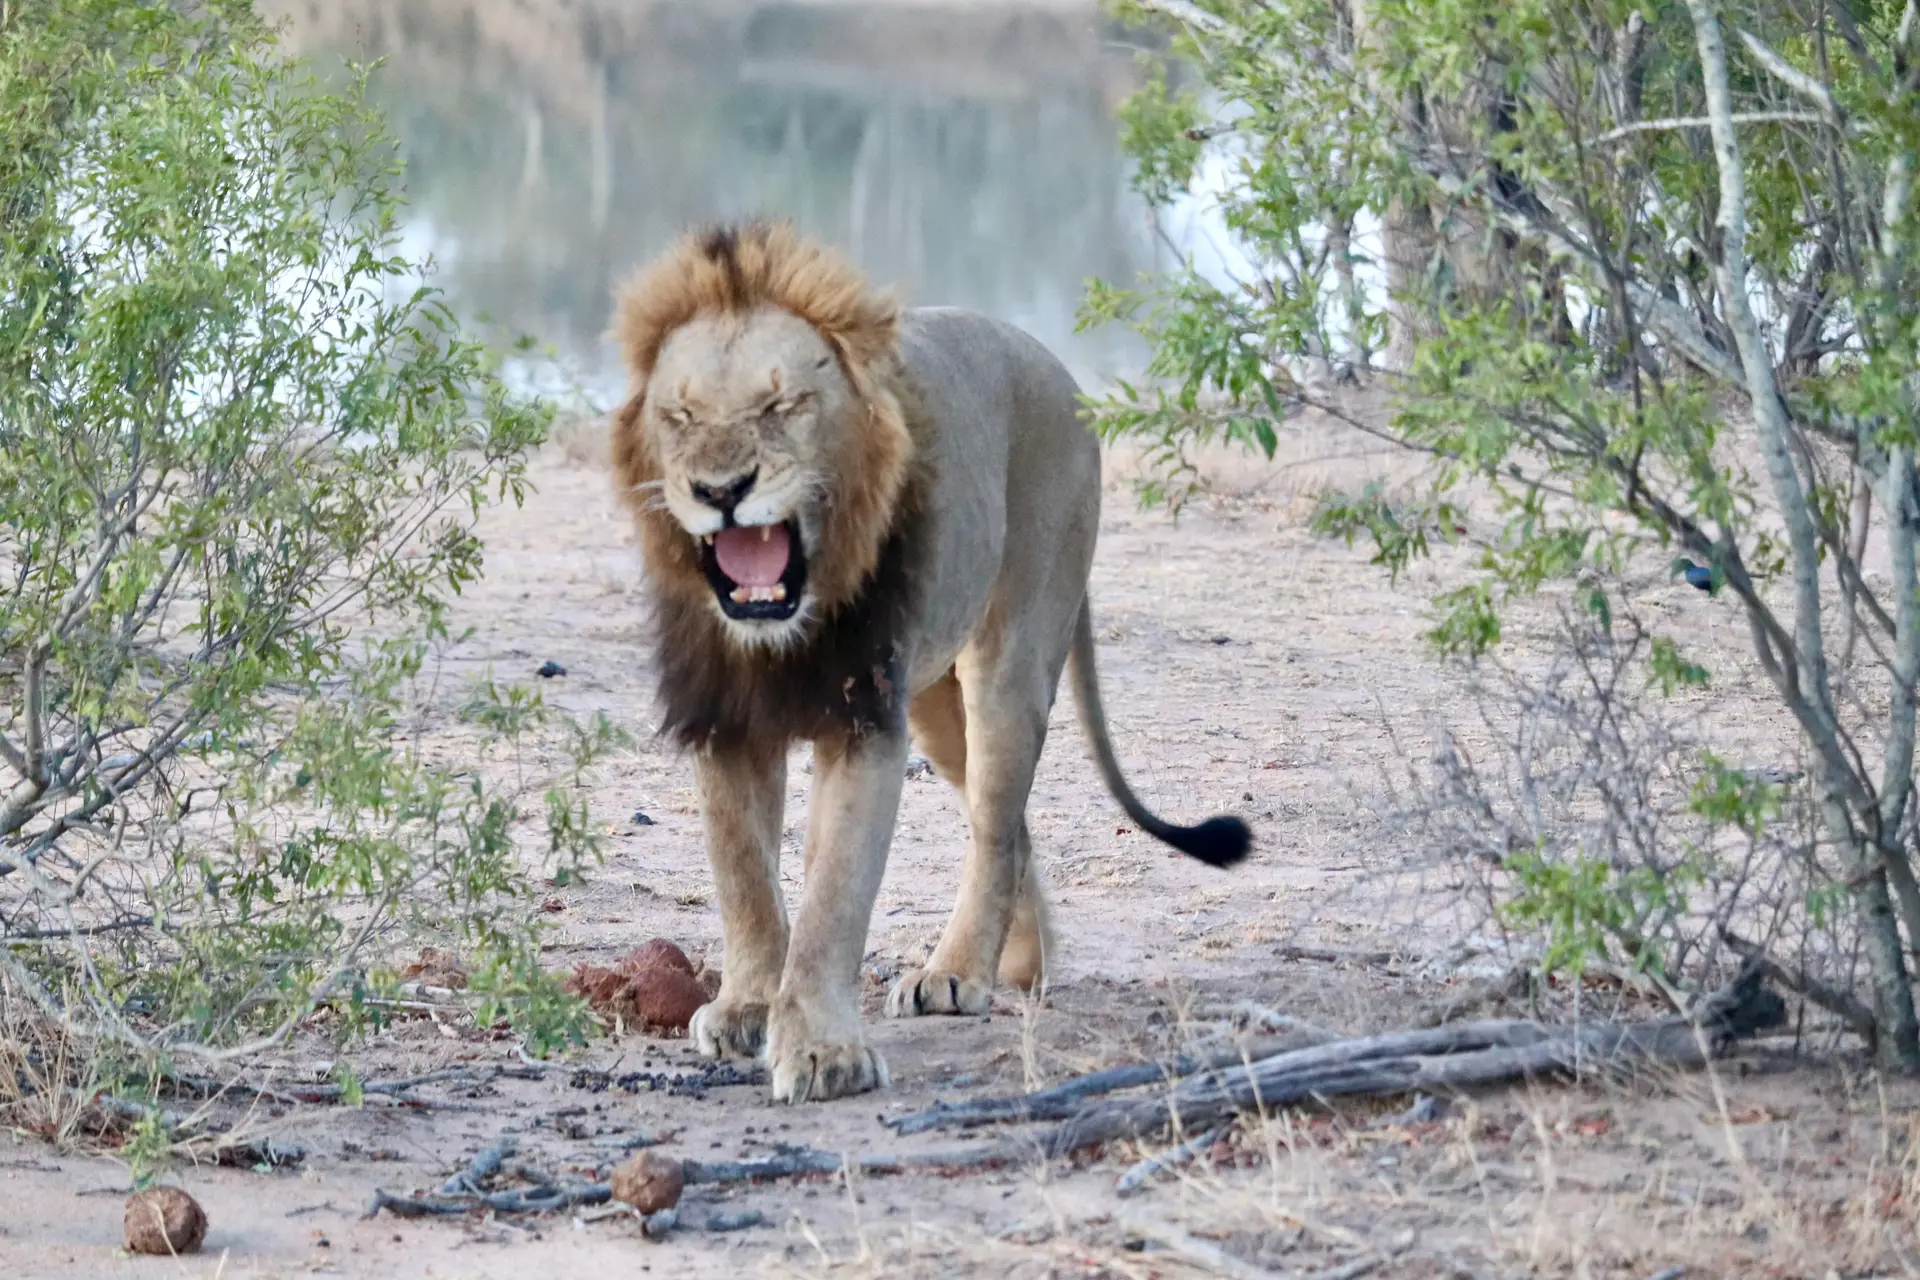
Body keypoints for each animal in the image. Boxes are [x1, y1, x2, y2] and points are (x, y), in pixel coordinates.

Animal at [606, 220, 1251, 1105]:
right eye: (681, 415)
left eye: (783, 405)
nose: (722, 490)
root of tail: (1064, 377)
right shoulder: (728, 718)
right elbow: (743, 875)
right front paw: (746, 1008)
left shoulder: (864, 721)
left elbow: (835, 894)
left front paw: (824, 1053)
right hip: (937, 703)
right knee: (1008, 826)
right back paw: (1022, 962)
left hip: (1007, 664)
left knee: (996, 823)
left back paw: (959, 974)